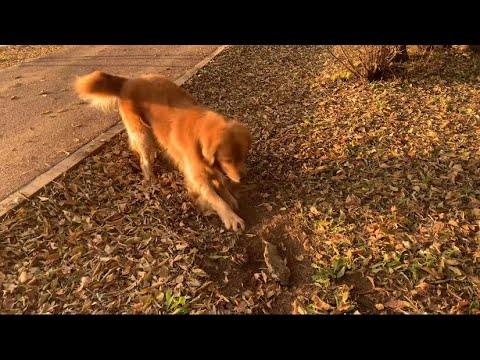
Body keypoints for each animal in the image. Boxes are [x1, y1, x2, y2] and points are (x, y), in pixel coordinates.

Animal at [74, 70, 251, 231]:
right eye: (228, 160)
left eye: (242, 156)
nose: (242, 177)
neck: (199, 135)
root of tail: (129, 81)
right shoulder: (196, 176)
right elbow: (216, 199)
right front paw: (231, 217)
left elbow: (221, 183)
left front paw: (229, 197)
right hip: (142, 134)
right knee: (144, 160)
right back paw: (150, 178)